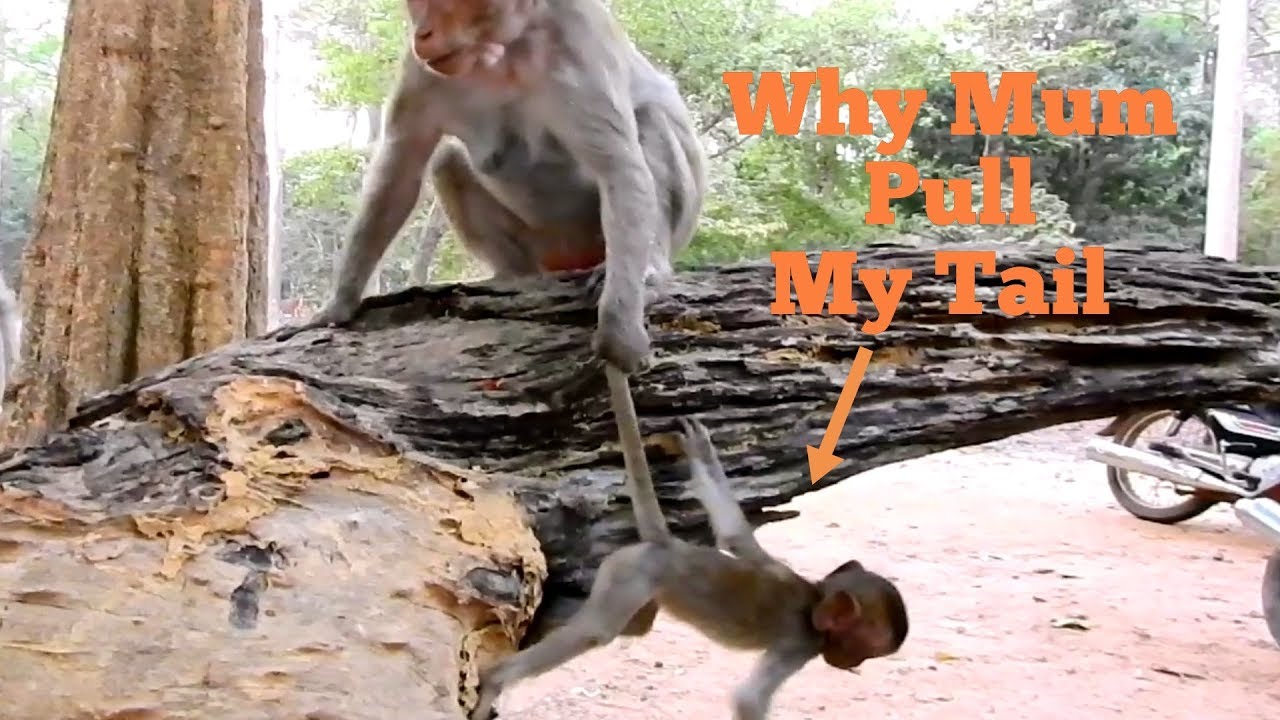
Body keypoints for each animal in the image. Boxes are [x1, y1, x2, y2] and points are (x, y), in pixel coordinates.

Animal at [273, 0, 707, 385]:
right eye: (416, 2)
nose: (422, 32)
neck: (503, 50)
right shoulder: (423, 71)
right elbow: (401, 166)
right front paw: (337, 305)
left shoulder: (578, 46)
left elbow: (618, 167)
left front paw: (619, 334)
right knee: (447, 159)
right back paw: (513, 276)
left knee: (650, 121)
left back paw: (649, 265)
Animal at [467, 415, 910, 720]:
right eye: (864, 649)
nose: (852, 664)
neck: (815, 598)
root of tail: (666, 545)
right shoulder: (799, 644)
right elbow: (748, 703)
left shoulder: (766, 563)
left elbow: (734, 537)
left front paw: (700, 451)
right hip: (632, 576)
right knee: (596, 632)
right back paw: (496, 678)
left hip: (625, 574)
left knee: (629, 625)